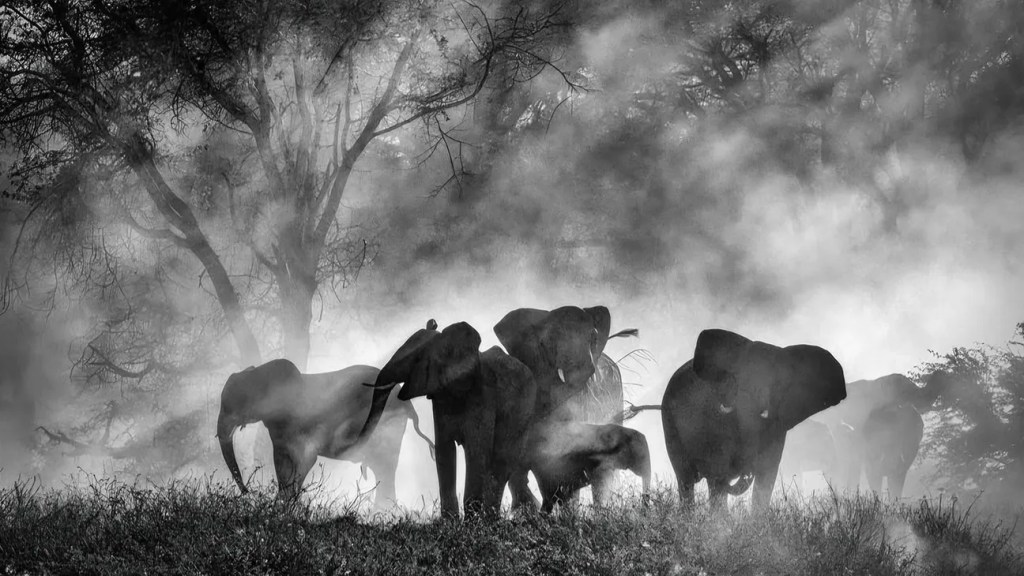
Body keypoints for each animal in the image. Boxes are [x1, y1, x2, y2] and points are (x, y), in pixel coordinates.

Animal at [217, 359, 434, 504]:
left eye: (237, 404)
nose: (248, 493)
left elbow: (305, 460)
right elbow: (281, 463)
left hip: (388, 426)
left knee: (385, 467)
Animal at [358, 320, 537, 518]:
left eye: (417, 360)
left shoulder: (483, 395)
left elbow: (477, 451)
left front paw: (472, 521)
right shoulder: (440, 396)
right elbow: (444, 450)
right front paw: (450, 521)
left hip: (524, 412)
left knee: (502, 462)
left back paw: (491, 519)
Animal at [662, 329, 847, 511]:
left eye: (776, 383)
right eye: (737, 379)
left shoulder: (777, 426)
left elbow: (766, 475)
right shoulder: (714, 422)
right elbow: (718, 473)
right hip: (670, 423)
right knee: (686, 480)